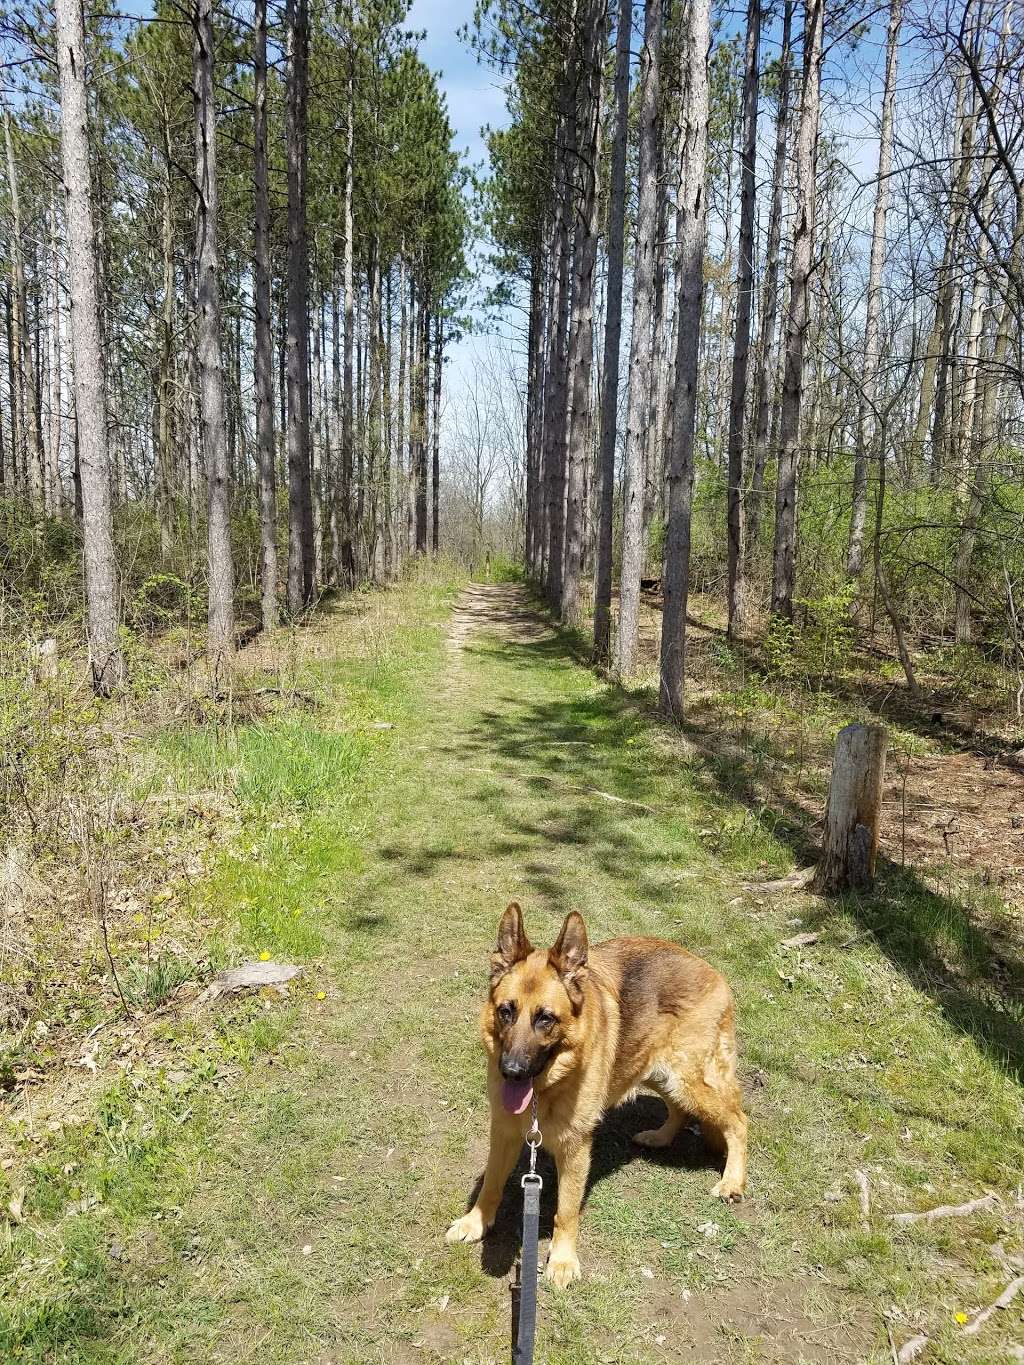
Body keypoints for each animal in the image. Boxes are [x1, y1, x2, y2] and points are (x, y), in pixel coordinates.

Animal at [445, 900, 748, 1283]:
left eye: (545, 1018)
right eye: (505, 1012)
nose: (511, 1072)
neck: (546, 1088)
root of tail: (713, 972)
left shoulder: (576, 1149)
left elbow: (566, 1210)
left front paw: (562, 1260)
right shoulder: (505, 1132)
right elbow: (491, 1184)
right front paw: (476, 1222)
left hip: (688, 1081)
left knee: (738, 1121)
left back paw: (732, 1182)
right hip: (653, 1071)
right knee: (678, 1109)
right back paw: (660, 1137)